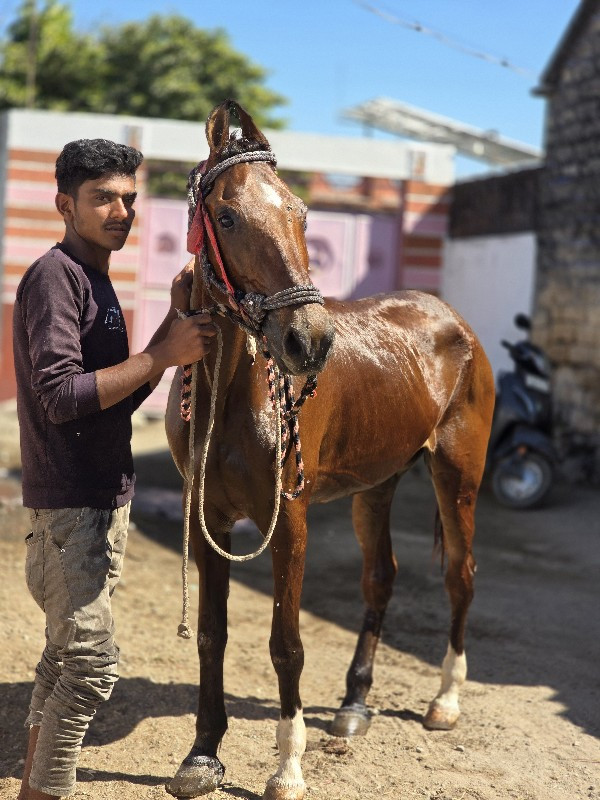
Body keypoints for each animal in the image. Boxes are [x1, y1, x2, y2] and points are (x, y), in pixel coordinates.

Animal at [163, 100, 492, 800]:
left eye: (302, 214)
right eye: (226, 216)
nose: (308, 341)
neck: (231, 392)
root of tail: (453, 320)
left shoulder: (289, 519)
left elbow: (285, 642)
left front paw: (287, 767)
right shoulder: (208, 518)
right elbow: (211, 633)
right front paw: (203, 753)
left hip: (458, 475)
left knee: (461, 575)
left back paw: (445, 702)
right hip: (378, 484)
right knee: (381, 577)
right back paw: (353, 705)